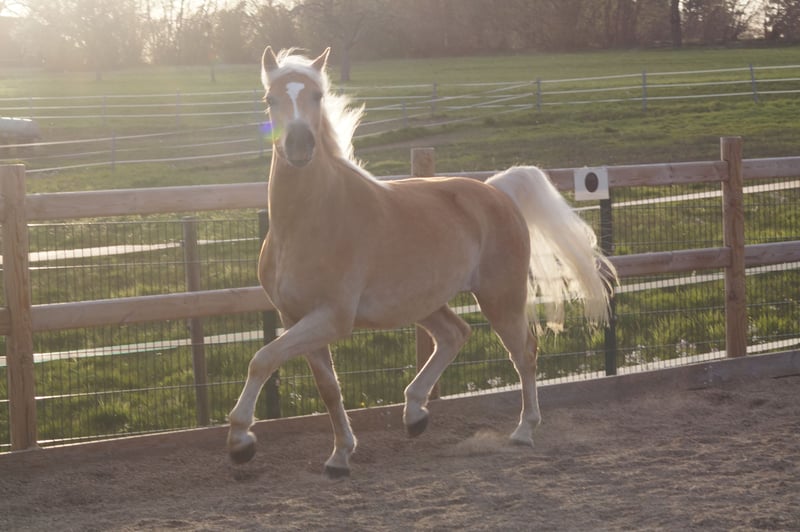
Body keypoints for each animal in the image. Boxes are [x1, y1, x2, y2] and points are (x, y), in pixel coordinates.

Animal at [227, 46, 617, 478]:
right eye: (270, 99)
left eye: (316, 96)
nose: (299, 144)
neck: (308, 222)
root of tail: (497, 191)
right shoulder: (295, 317)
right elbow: (327, 388)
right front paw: (340, 455)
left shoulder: (332, 317)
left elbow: (261, 360)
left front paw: (241, 440)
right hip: (424, 301)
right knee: (455, 334)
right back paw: (415, 413)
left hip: (501, 297)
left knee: (524, 352)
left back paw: (523, 431)